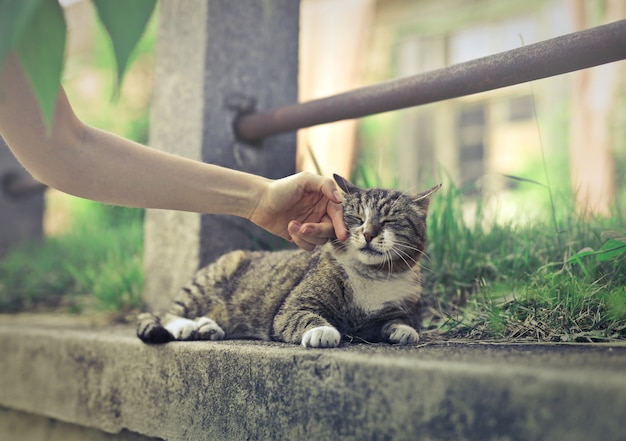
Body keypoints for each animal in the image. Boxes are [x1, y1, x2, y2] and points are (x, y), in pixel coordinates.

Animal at [136, 174, 438, 348]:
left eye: (389, 221)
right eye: (357, 218)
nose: (368, 233)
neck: (371, 277)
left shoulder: (398, 310)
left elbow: (402, 321)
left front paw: (404, 331)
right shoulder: (293, 307)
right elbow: (305, 317)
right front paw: (322, 331)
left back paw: (207, 327)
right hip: (211, 279)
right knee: (168, 313)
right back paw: (188, 326)